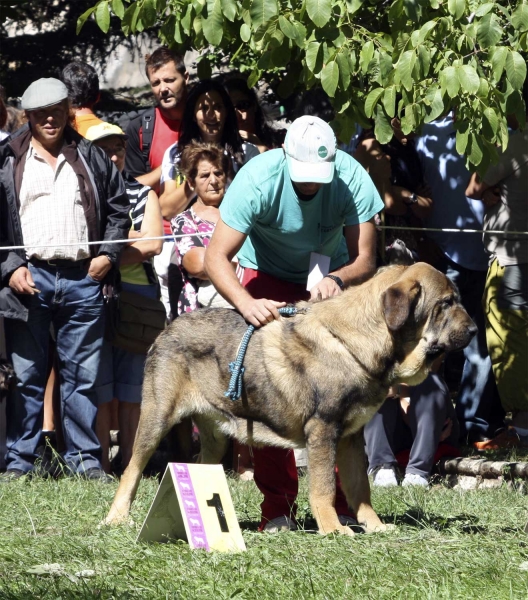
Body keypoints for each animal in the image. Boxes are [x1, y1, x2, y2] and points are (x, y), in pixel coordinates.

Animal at [105, 264, 476, 536]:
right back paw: (117, 517)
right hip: (157, 418)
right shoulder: (323, 431)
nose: (473, 331)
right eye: (446, 303)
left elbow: (359, 488)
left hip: (214, 438)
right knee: (132, 469)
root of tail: (170, 326)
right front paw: (334, 530)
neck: (356, 343)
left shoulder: (351, 437)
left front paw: (375, 526)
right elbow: (325, 487)